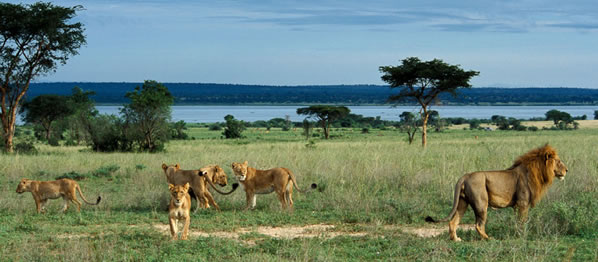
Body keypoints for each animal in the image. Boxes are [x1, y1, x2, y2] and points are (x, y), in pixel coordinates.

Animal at [426, 144, 572, 241]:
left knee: (453, 222)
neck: (537, 172)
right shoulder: (523, 203)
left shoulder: (517, 206)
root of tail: (465, 176)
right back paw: (489, 239)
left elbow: (518, 221)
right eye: (558, 161)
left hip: (462, 203)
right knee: (478, 225)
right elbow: (522, 221)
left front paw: (518, 234)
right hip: (481, 204)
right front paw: (522, 236)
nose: (567, 170)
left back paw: (456, 239)